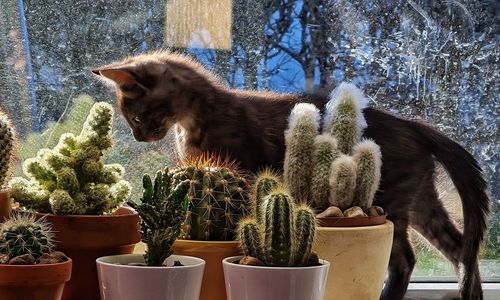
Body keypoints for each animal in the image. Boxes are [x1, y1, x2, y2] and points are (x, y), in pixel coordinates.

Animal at [93, 51, 488, 300]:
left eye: (137, 117)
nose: (139, 137)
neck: (198, 117)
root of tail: (415, 125)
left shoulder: (246, 169)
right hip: (421, 201)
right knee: (462, 251)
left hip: (392, 200)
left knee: (407, 257)